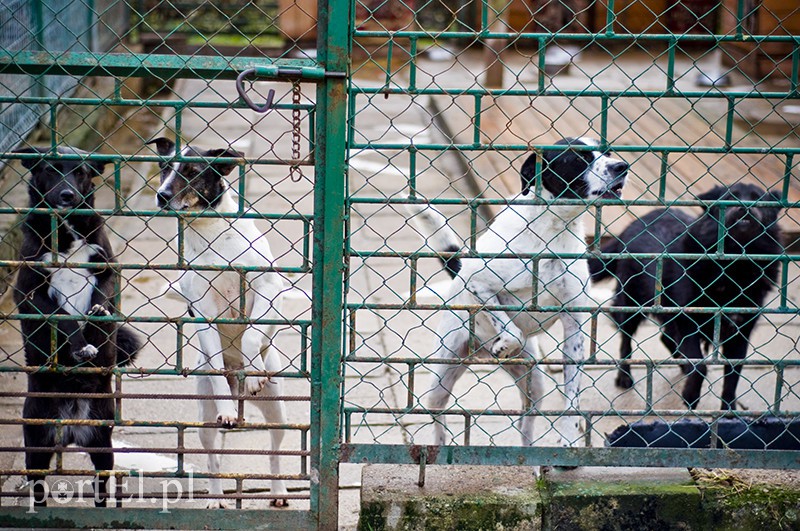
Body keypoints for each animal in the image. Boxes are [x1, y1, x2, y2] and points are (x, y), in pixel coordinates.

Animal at [12, 147, 142, 508]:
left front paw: (97, 319)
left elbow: (101, 299)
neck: (66, 230)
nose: (68, 195)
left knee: (101, 484)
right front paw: (81, 343)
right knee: (38, 486)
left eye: (81, 172)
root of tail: (70, 427)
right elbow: (66, 317)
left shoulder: (109, 270)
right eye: (50, 169)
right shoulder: (28, 292)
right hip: (37, 444)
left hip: (102, 443)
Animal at [148, 139, 290, 510]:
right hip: (205, 421)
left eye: (192, 171)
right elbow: (214, 364)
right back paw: (215, 497)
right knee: (214, 458)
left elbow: (252, 335)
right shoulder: (204, 313)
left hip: (278, 410)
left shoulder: (268, 289)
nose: (161, 196)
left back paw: (279, 492)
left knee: (276, 452)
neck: (212, 235)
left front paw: (253, 371)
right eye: (163, 169)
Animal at [410, 138, 628, 454]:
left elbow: (572, 400)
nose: (622, 166)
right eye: (577, 158)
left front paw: (568, 439)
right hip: (441, 377)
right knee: (438, 417)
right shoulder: (479, 283)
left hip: (534, 384)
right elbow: (510, 327)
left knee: (527, 420)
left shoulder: (574, 326)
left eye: (608, 152)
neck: (552, 231)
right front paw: (504, 343)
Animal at [592, 184, 784, 412]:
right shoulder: (689, 321)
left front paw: (728, 410)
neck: (733, 264)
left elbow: (733, 375)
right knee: (625, 340)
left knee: (666, 336)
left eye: (758, 199)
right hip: (632, 302)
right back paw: (624, 376)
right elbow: (700, 365)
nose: (744, 207)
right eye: (731, 197)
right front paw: (690, 395)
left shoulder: (740, 332)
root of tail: (631, 226)